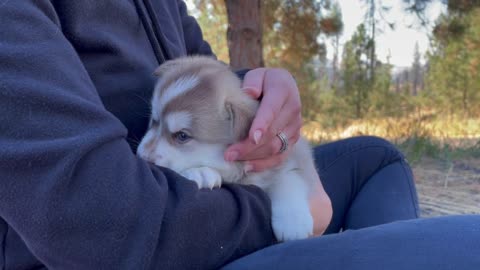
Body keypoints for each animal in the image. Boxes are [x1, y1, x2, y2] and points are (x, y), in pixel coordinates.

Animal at [137, 55, 320, 240]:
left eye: (182, 136)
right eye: (154, 121)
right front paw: (200, 172)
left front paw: (294, 222)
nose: (142, 158)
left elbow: (291, 176)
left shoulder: (294, 154)